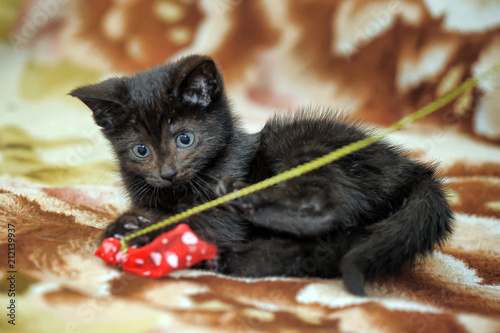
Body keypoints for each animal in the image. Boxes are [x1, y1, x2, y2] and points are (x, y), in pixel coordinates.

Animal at [70, 55, 454, 296]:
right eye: (141, 150)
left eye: (185, 139)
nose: (167, 173)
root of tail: (414, 170)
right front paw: (131, 223)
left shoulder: (220, 211)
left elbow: (197, 220)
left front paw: (137, 229)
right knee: (322, 251)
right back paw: (227, 258)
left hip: (301, 145)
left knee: (330, 206)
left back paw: (248, 201)